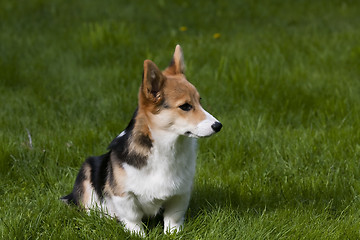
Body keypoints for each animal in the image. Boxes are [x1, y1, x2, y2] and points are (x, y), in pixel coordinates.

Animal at [61, 44, 222, 234]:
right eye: (185, 106)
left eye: (200, 101)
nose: (218, 125)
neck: (167, 147)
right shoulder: (123, 195)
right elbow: (133, 219)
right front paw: (139, 235)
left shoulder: (180, 194)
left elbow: (173, 218)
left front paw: (173, 234)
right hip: (87, 172)